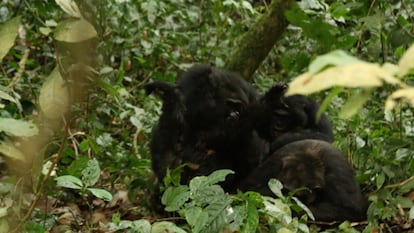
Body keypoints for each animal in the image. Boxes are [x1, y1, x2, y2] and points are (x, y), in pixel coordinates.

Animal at [238, 139, 368, 221]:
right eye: (284, 190)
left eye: (297, 195)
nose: (286, 198)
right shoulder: (276, 162)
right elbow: (249, 187)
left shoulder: (337, 176)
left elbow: (351, 210)